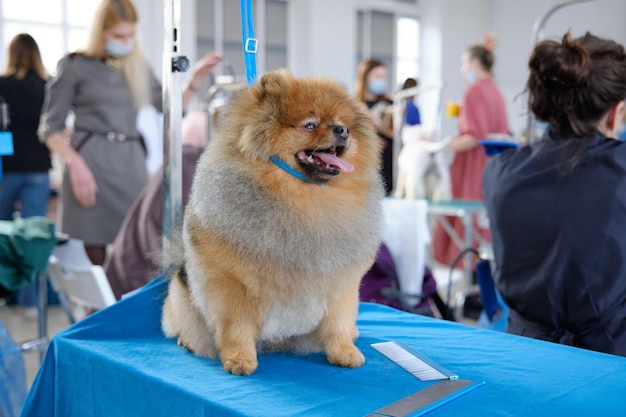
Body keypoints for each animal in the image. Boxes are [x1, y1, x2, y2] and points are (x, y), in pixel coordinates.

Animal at [161, 68, 382, 374]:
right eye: (310, 125)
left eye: (341, 123)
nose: (343, 131)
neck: (304, 198)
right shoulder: (232, 284)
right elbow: (236, 327)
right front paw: (240, 359)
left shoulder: (340, 283)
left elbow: (338, 323)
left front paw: (345, 352)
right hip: (183, 295)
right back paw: (187, 340)